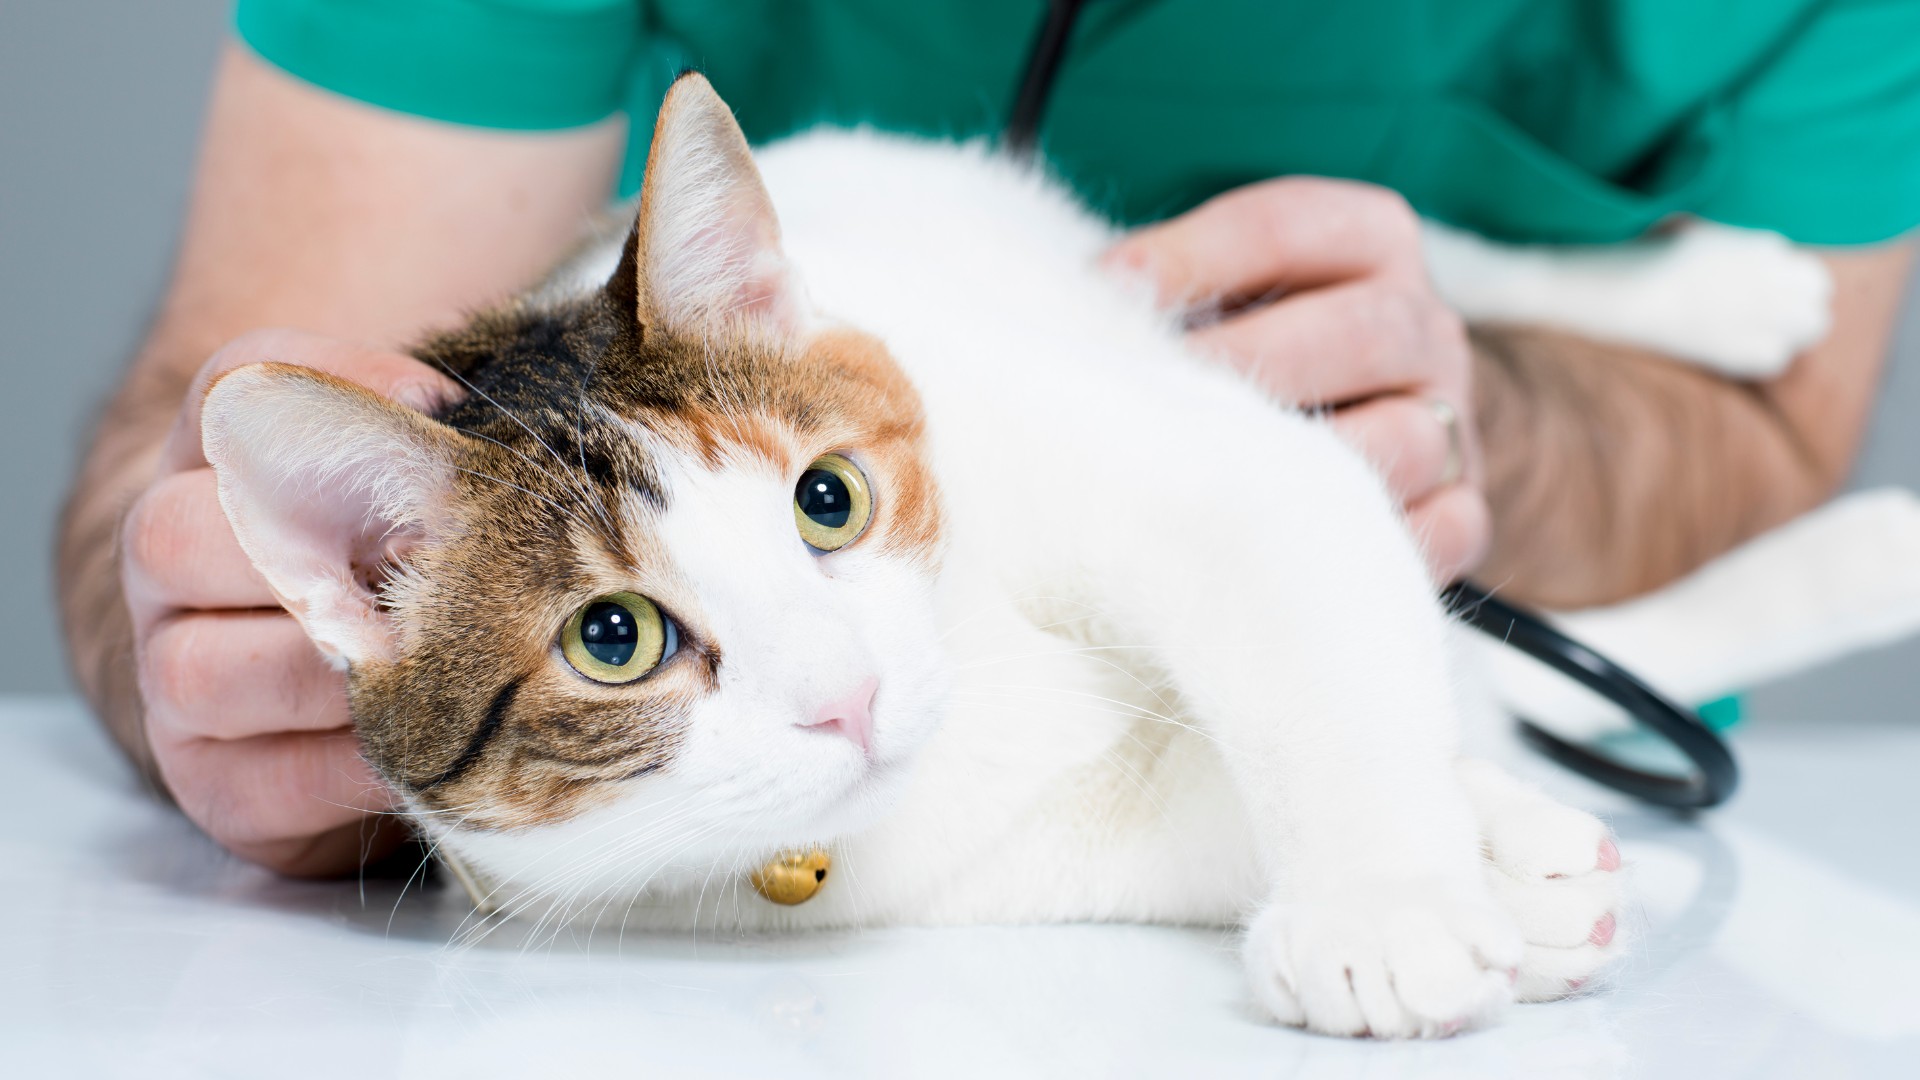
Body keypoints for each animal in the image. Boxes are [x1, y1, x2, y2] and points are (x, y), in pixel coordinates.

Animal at [194, 73, 1827, 1037]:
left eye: (829, 500)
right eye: (614, 640)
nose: (850, 696)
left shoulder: (1202, 466)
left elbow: (1300, 614)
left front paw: (1389, 900)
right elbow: (1199, 811)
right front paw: (1507, 869)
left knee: (1426, 247)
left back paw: (1726, 288)